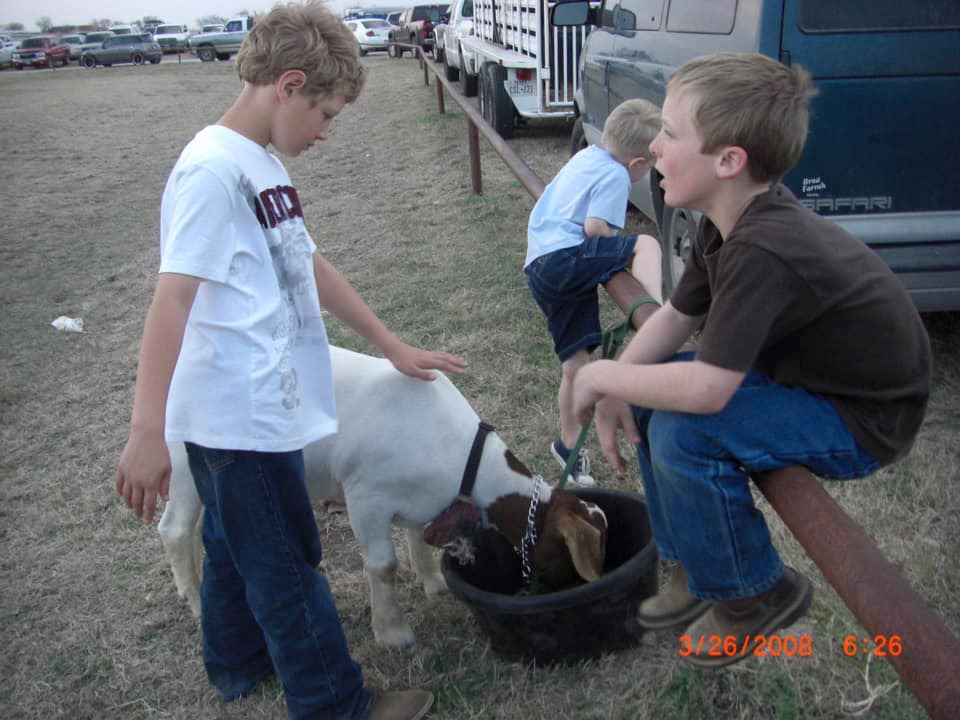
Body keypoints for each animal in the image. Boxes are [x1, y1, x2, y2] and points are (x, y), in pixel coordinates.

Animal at [159, 344, 608, 648]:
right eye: (572, 553)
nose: (557, 596)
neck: (463, 457)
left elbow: (416, 536)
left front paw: (432, 583)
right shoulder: (365, 498)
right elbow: (383, 566)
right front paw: (393, 632)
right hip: (183, 463)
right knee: (175, 528)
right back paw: (195, 602)